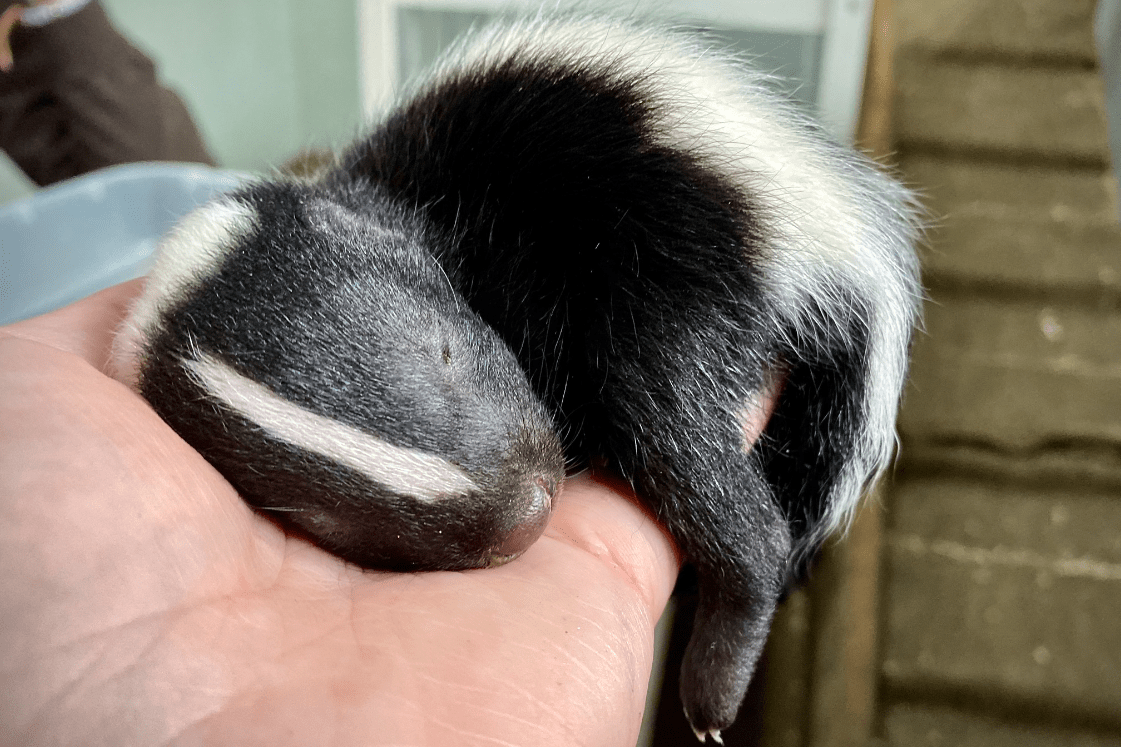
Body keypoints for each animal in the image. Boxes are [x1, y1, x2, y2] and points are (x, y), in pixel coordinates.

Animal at [111, 15, 919, 740]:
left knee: (680, 430)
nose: (531, 503)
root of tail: (824, 217)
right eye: (330, 520)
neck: (385, 197)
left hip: (677, 247)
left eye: (441, 351)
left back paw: (713, 686)